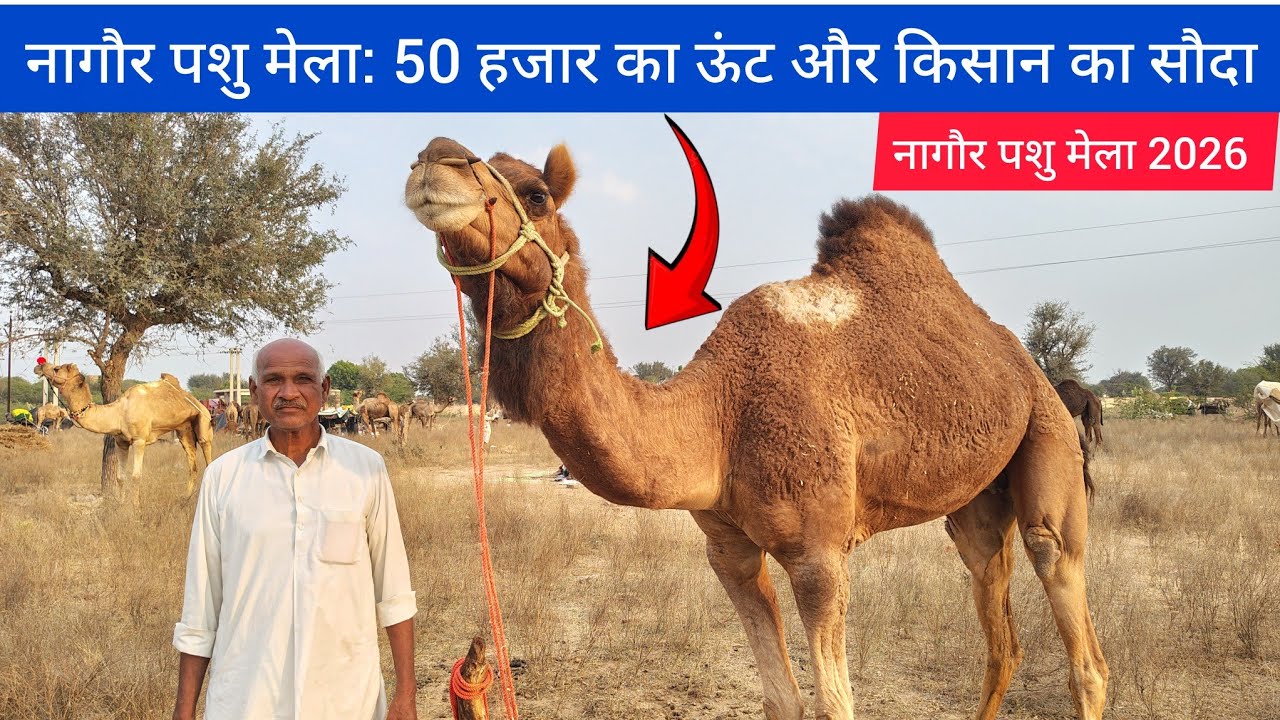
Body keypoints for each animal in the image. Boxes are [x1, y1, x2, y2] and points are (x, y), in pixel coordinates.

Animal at [33, 361, 213, 502]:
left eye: (57, 368)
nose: (39, 366)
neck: (118, 413)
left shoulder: (139, 440)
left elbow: (136, 476)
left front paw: (135, 510)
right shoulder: (121, 442)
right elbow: (120, 477)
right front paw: (120, 507)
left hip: (204, 421)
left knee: (207, 454)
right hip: (184, 430)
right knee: (192, 465)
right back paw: (185, 498)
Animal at [405, 138, 1108, 720]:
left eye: (536, 194)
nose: (434, 157)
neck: (720, 415)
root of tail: (1026, 364)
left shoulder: (819, 553)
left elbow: (833, 705)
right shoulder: (729, 550)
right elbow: (781, 701)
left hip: (1048, 434)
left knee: (1076, 627)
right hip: (974, 503)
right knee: (999, 629)